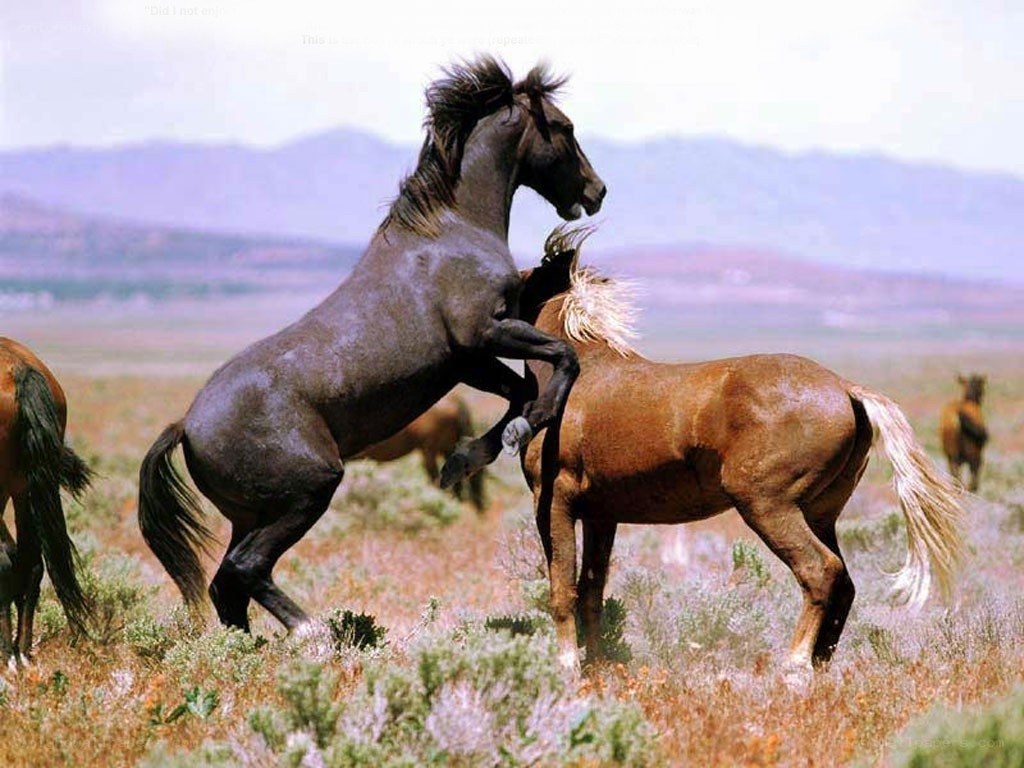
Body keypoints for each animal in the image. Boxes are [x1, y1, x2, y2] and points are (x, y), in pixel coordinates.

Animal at [514, 227, 965, 676]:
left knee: (820, 571)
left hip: (767, 505)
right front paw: (599, 667)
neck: (580, 375)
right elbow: (591, 591)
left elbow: (562, 590)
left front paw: (567, 667)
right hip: (819, 514)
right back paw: (819, 665)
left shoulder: (555, 501)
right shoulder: (601, 515)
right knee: (844, 583)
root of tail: (844, 387)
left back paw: (795, 665)